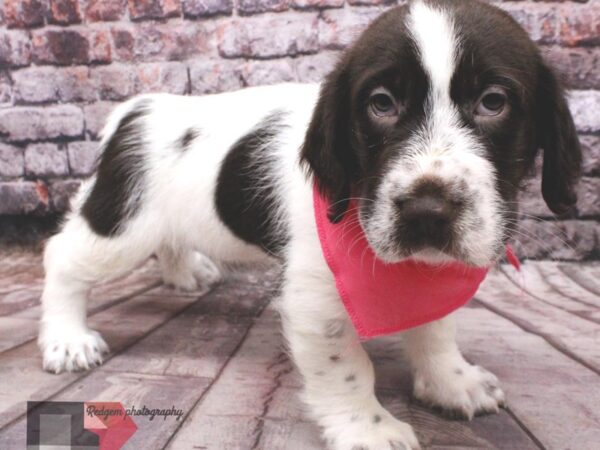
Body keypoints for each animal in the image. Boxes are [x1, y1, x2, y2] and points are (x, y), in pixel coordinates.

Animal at [38, 1, 580, 448]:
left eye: (494, 101)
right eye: (381, 103)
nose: (427, 212)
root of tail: (137, 110)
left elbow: (435, 326)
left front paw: (451, 380)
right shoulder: (315, 295)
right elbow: (347, 367)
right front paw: (367, 429)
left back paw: (184, 273)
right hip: (121, 227)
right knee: (62, 256)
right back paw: (67, 338)